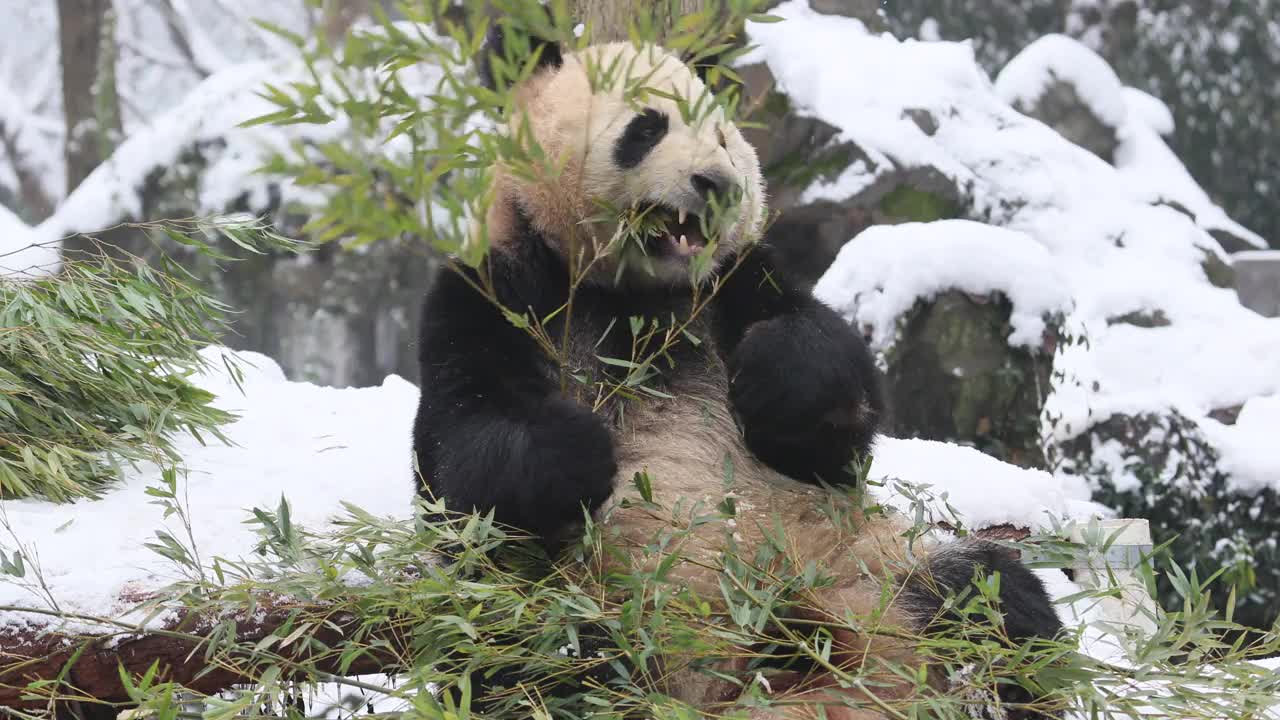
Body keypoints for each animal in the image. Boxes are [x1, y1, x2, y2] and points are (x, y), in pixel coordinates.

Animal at [409, 16, 1059, 717]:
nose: (717, 183)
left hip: (869, 566)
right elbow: (462, 454)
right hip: (568, 605)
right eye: (647, 128)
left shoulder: (731, 287)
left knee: (994, 601)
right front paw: (575, 450)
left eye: (723, 135)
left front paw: (775, 379)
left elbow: (830, 420)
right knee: (522, 658)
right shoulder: (499, 288)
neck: (633, 296)